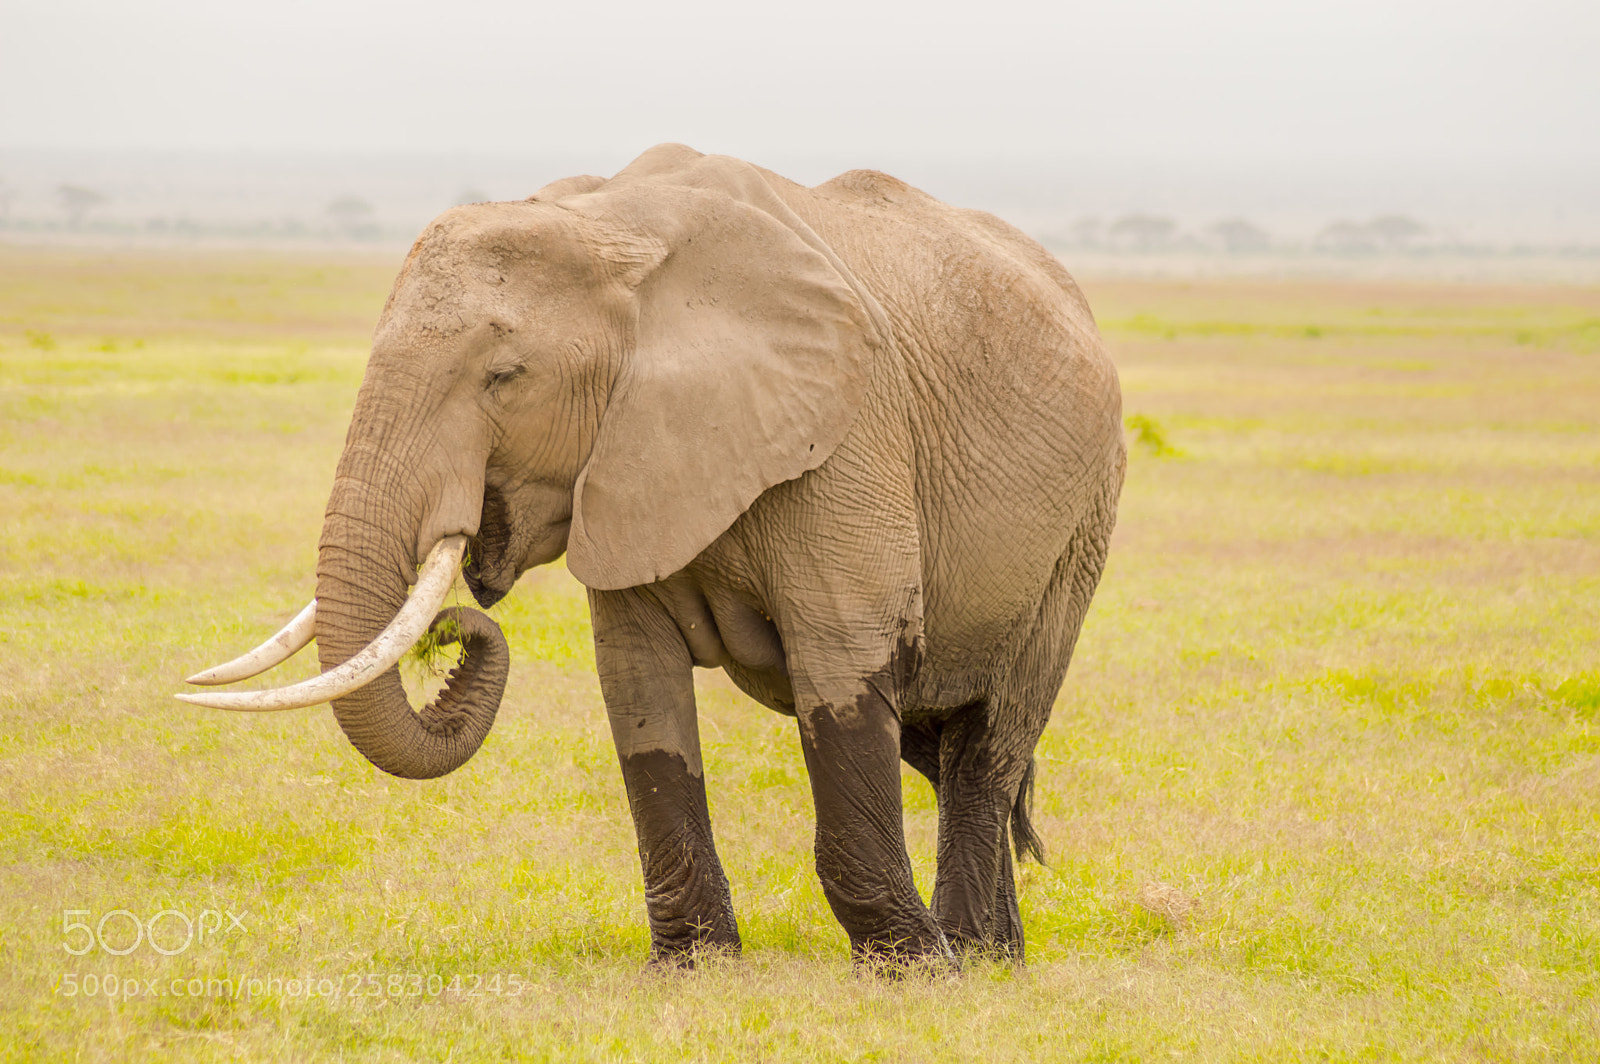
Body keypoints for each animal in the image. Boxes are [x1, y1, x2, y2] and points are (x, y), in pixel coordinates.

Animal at [180, 144, 1125, 965]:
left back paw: (973, 956)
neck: (614, 229)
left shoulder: (848, 441)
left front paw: (913, 972)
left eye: (505, 377)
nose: (452, 631)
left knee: (987, 742)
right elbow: (640, 690)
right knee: (936, 738)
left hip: (1084, 524)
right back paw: (1003, 958)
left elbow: (842, 670)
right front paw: (695, 969)